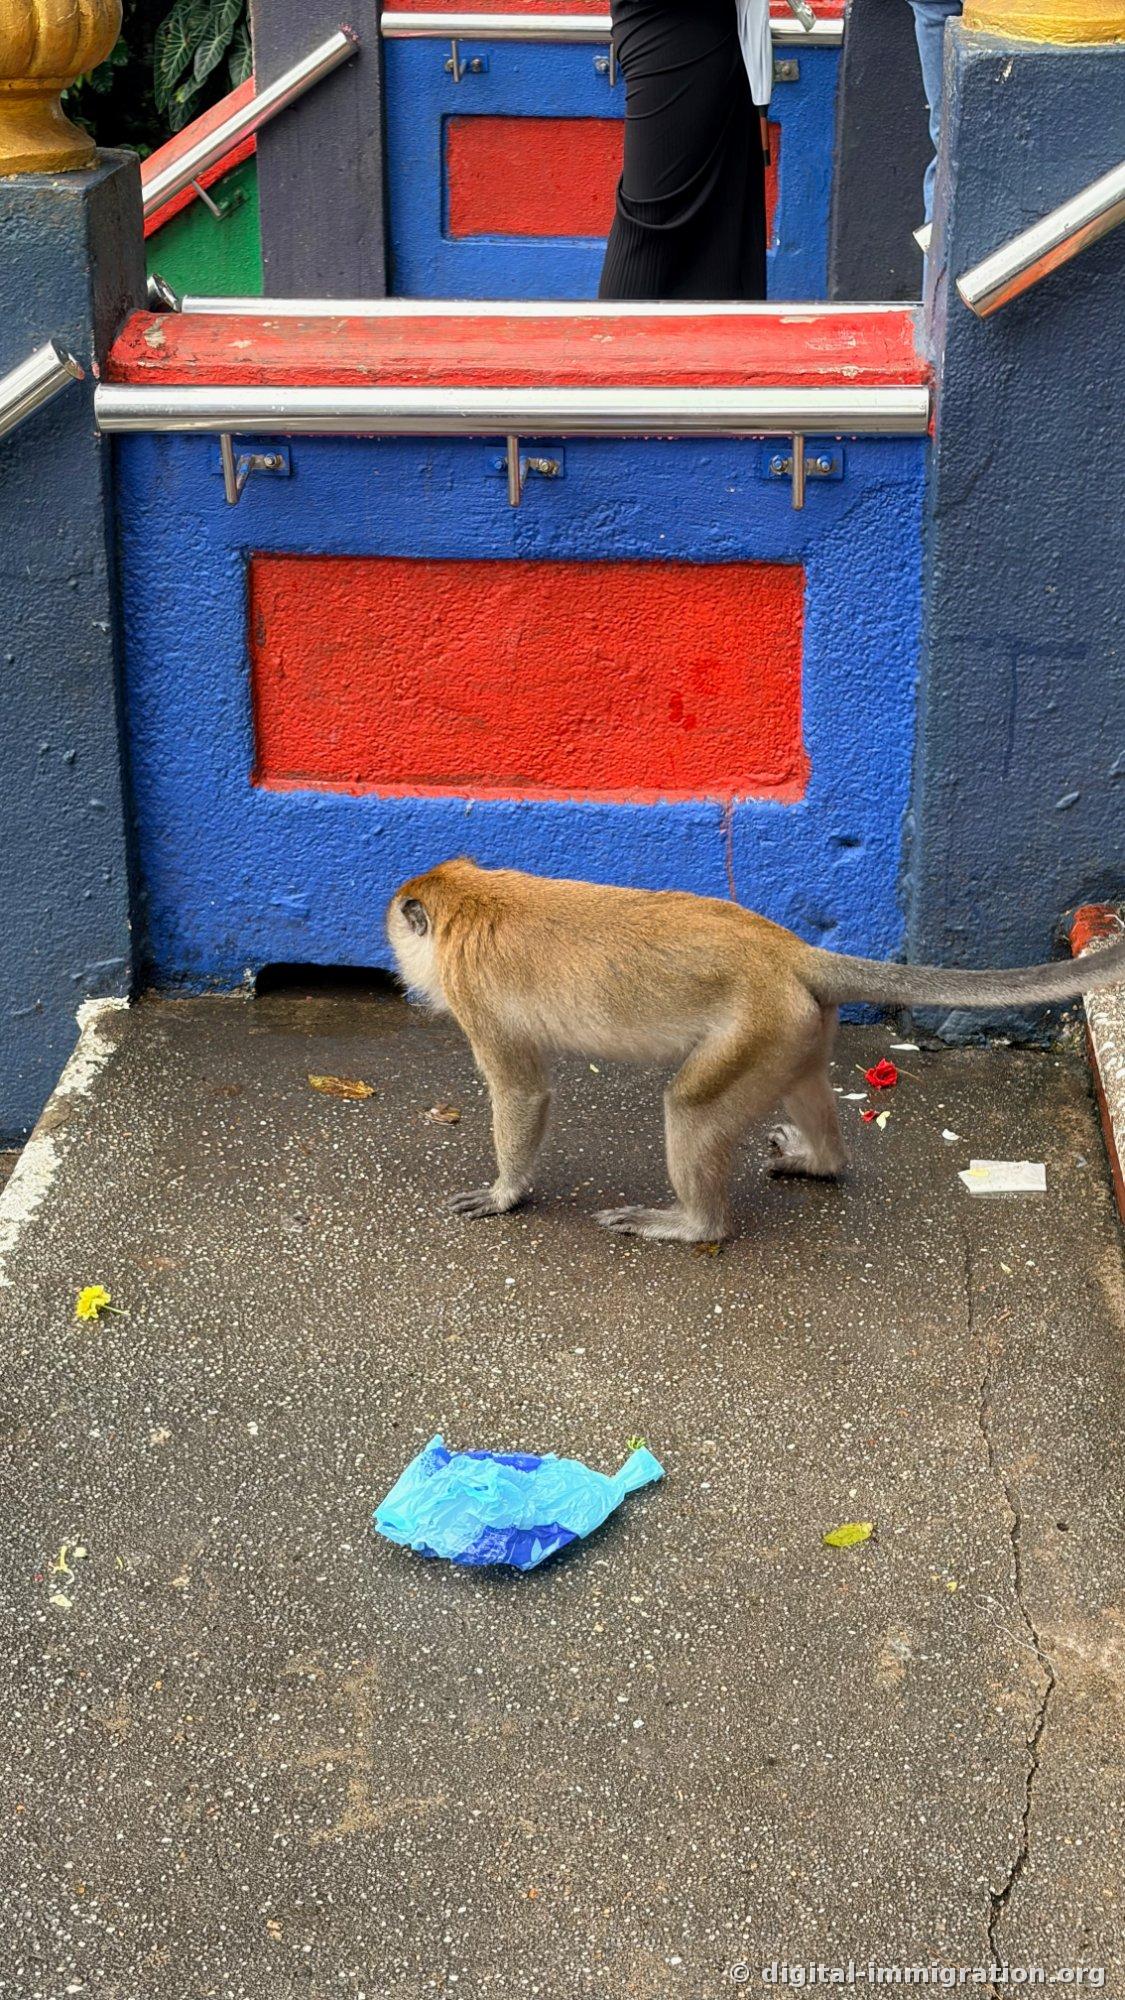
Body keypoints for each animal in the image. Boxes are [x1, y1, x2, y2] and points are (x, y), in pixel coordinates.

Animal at [387, 858, 1125, 1244]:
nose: (396, 966)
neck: (472, 896)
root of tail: (787, 952)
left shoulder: (474, 996)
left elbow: (524, 1092)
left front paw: (504, 1194)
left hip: (755, 1028)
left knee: (689, 1106)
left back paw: (694, 1225)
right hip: (795, 1026)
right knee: (802, 1084)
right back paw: (822, 1161)